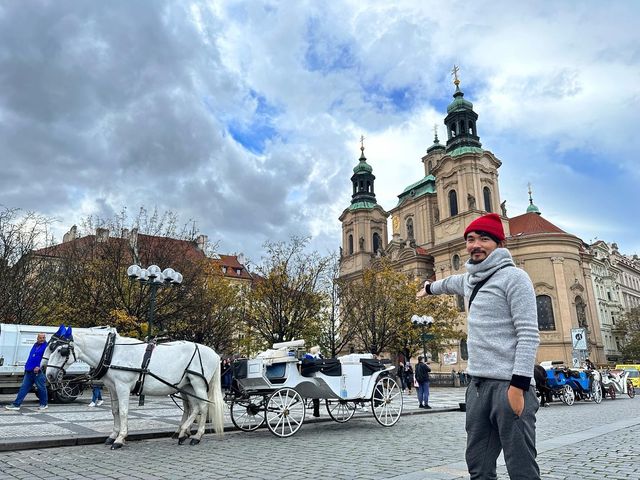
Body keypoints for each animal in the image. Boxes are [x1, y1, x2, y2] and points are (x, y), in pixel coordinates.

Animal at [43, 324, 224, 452]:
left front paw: (120, 439)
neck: (113, 352)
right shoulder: (113, 387)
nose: (49, 375)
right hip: (188, 385)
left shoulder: (123, 387)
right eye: (50, 347)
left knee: (203, 406)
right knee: (193, 407)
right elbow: (115, 411)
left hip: (198, 384)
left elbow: (123, 411)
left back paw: (196, 436)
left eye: (61, 350)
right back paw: (182, 433)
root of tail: (215, 354)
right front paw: (113, 435)